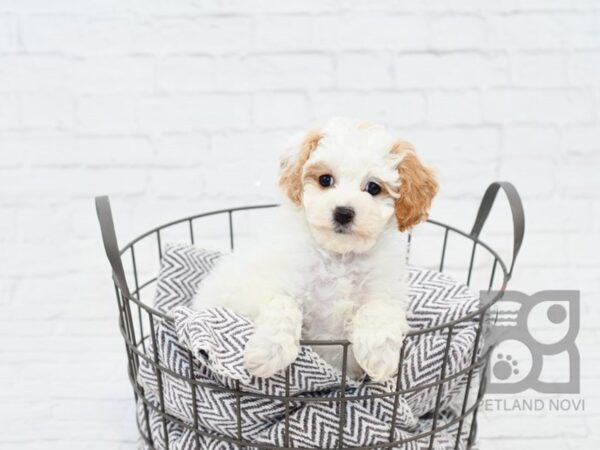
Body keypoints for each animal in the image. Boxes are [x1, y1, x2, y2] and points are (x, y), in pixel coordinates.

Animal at [192, 118, 436, 382]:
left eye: (373, 188)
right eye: (325, 180)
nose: (343, 212)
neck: (340, 257)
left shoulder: (386, 289)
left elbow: (379, 309)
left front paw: (379, 356)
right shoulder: (270, 284)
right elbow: (283, 305)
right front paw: (268, 353)